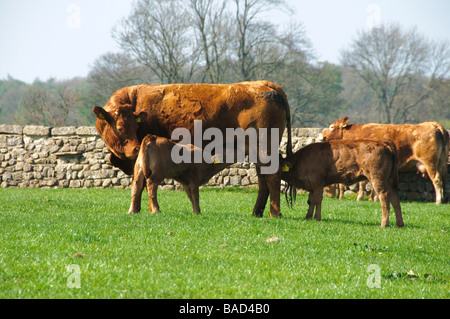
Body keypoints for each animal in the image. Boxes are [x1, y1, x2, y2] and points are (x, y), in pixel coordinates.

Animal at [93, 81, 294, 219]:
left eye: (135, 126)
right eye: (120, 128)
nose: (135, 148)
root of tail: (267, 85)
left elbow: (143, 182)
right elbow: (138, 181)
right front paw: (136, 210)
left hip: (264, 149)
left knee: (272, 176)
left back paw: (274, 213)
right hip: (258, 152)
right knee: (262, 179)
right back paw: (257, 212)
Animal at [318, 117, 448, 205]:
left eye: (331, 126)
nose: (320, 135)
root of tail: (434, 124)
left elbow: (363, 183)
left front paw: (361, 197)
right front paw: (373, 198)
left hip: (430, 162)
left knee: (436, 179)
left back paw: (438, 200)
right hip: (441, 163)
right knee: (443, 179)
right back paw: (443, 198)